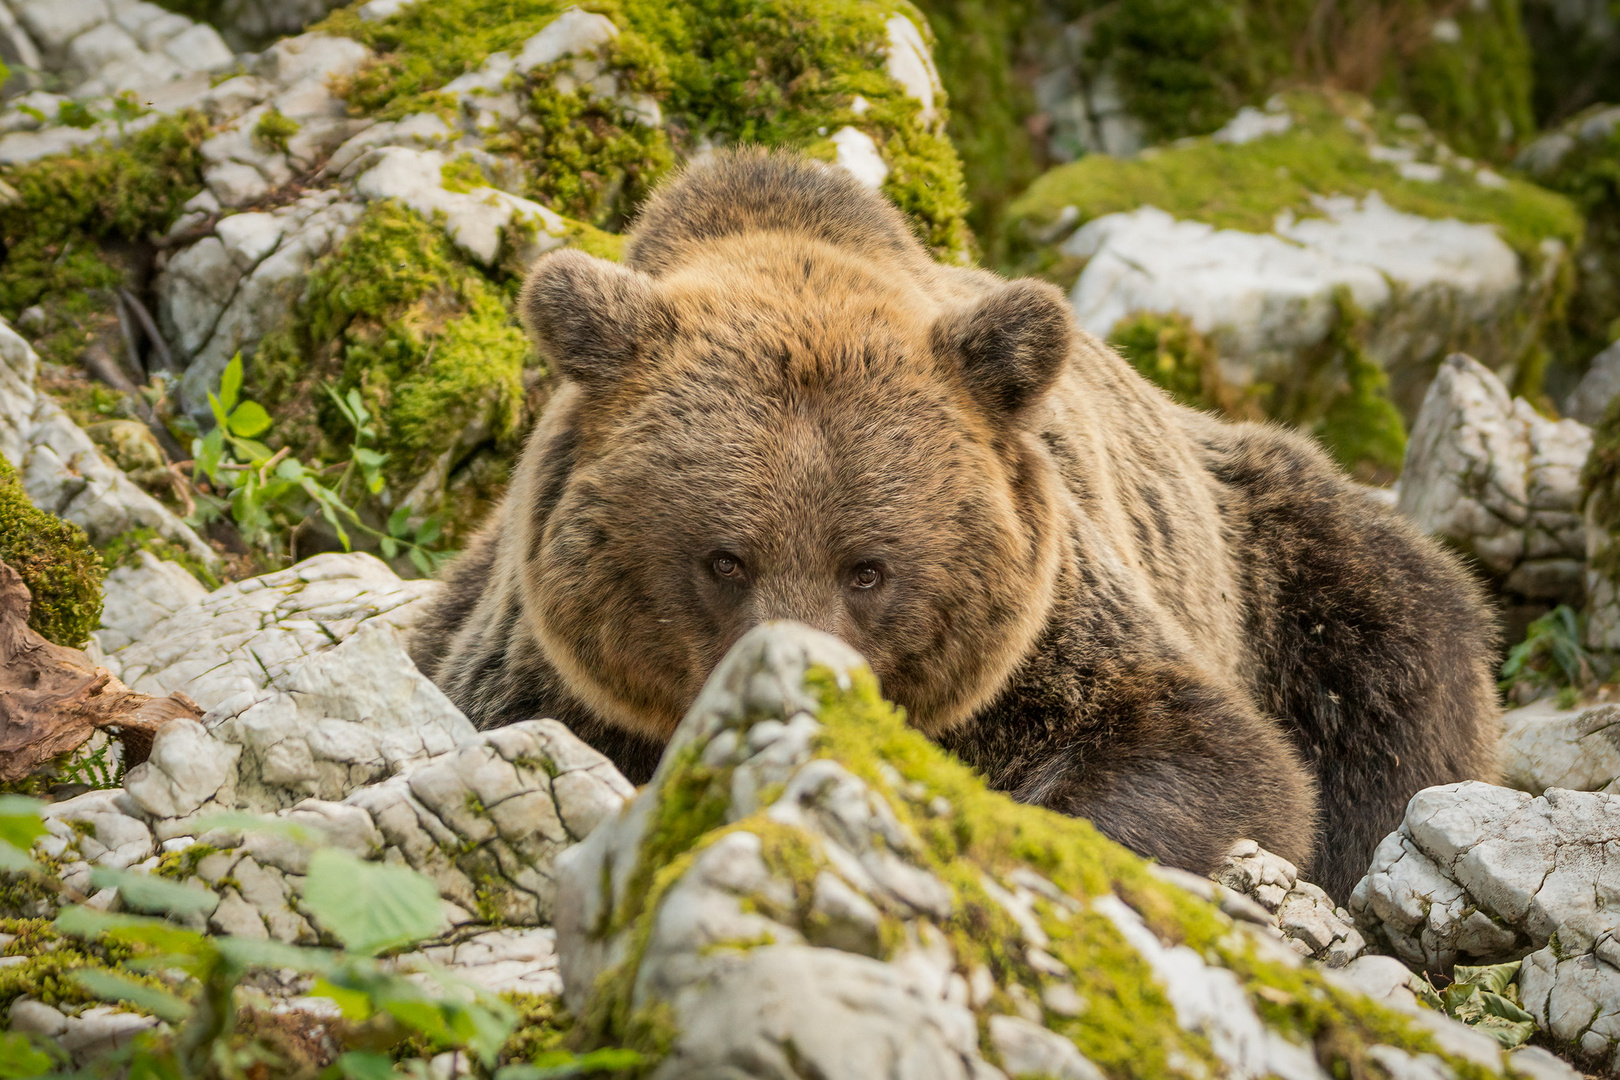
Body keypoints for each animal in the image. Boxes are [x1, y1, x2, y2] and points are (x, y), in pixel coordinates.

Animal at [411, 148, 1496, 900]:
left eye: (869, 567)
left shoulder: (1042, 636)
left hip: (1278, 555)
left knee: (1398, 665)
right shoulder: (542, 666)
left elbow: (1195, 747)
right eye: (724, 559)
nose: (808, 683)